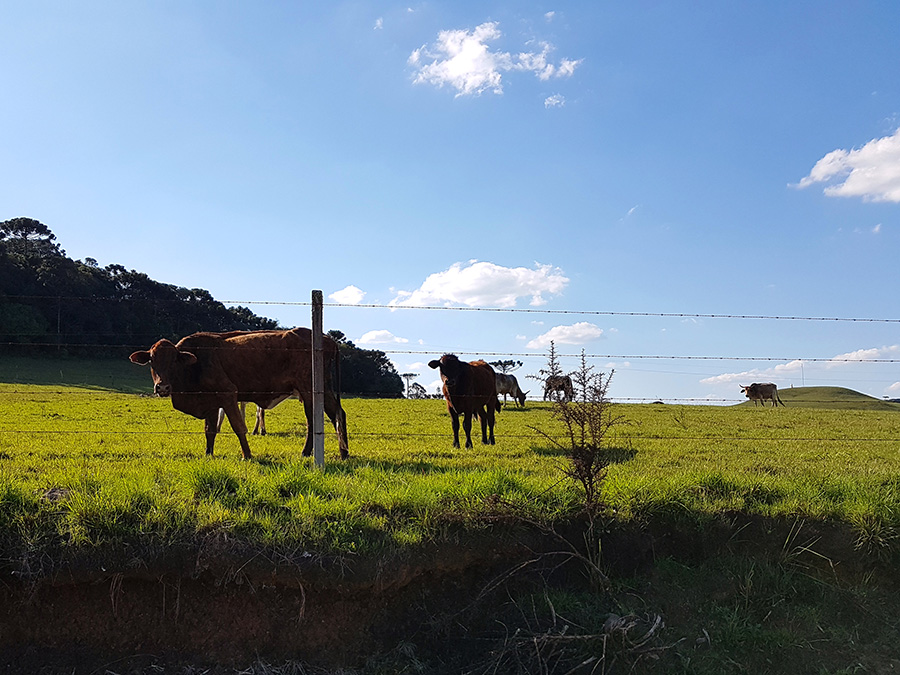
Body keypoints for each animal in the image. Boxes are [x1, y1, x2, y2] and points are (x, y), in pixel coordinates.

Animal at [130, 328, 348, 460]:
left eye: (174, 360)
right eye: (151, 360)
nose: (162, 388)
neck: (196, 362)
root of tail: (327, 339)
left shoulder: (228, 394)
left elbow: (238, 427)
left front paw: (247, 455)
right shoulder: (210, 401)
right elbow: (209, 430)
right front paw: (208, 454)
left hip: (309, 391)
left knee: (314, 421)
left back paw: (307, 452)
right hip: (323, 389)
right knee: (338, 413)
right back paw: (344, 452)